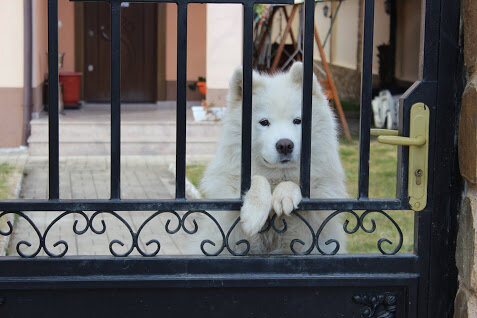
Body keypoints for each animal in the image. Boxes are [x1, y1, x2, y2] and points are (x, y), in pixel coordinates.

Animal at [197, 62, 346, 256]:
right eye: (264, 122)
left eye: (297, 121)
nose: (285, 145)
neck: (277, 177)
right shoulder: (230, 225)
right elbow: (257, 178)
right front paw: (254, 210)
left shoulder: (314, 221)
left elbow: (295, 183)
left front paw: (285, 194)